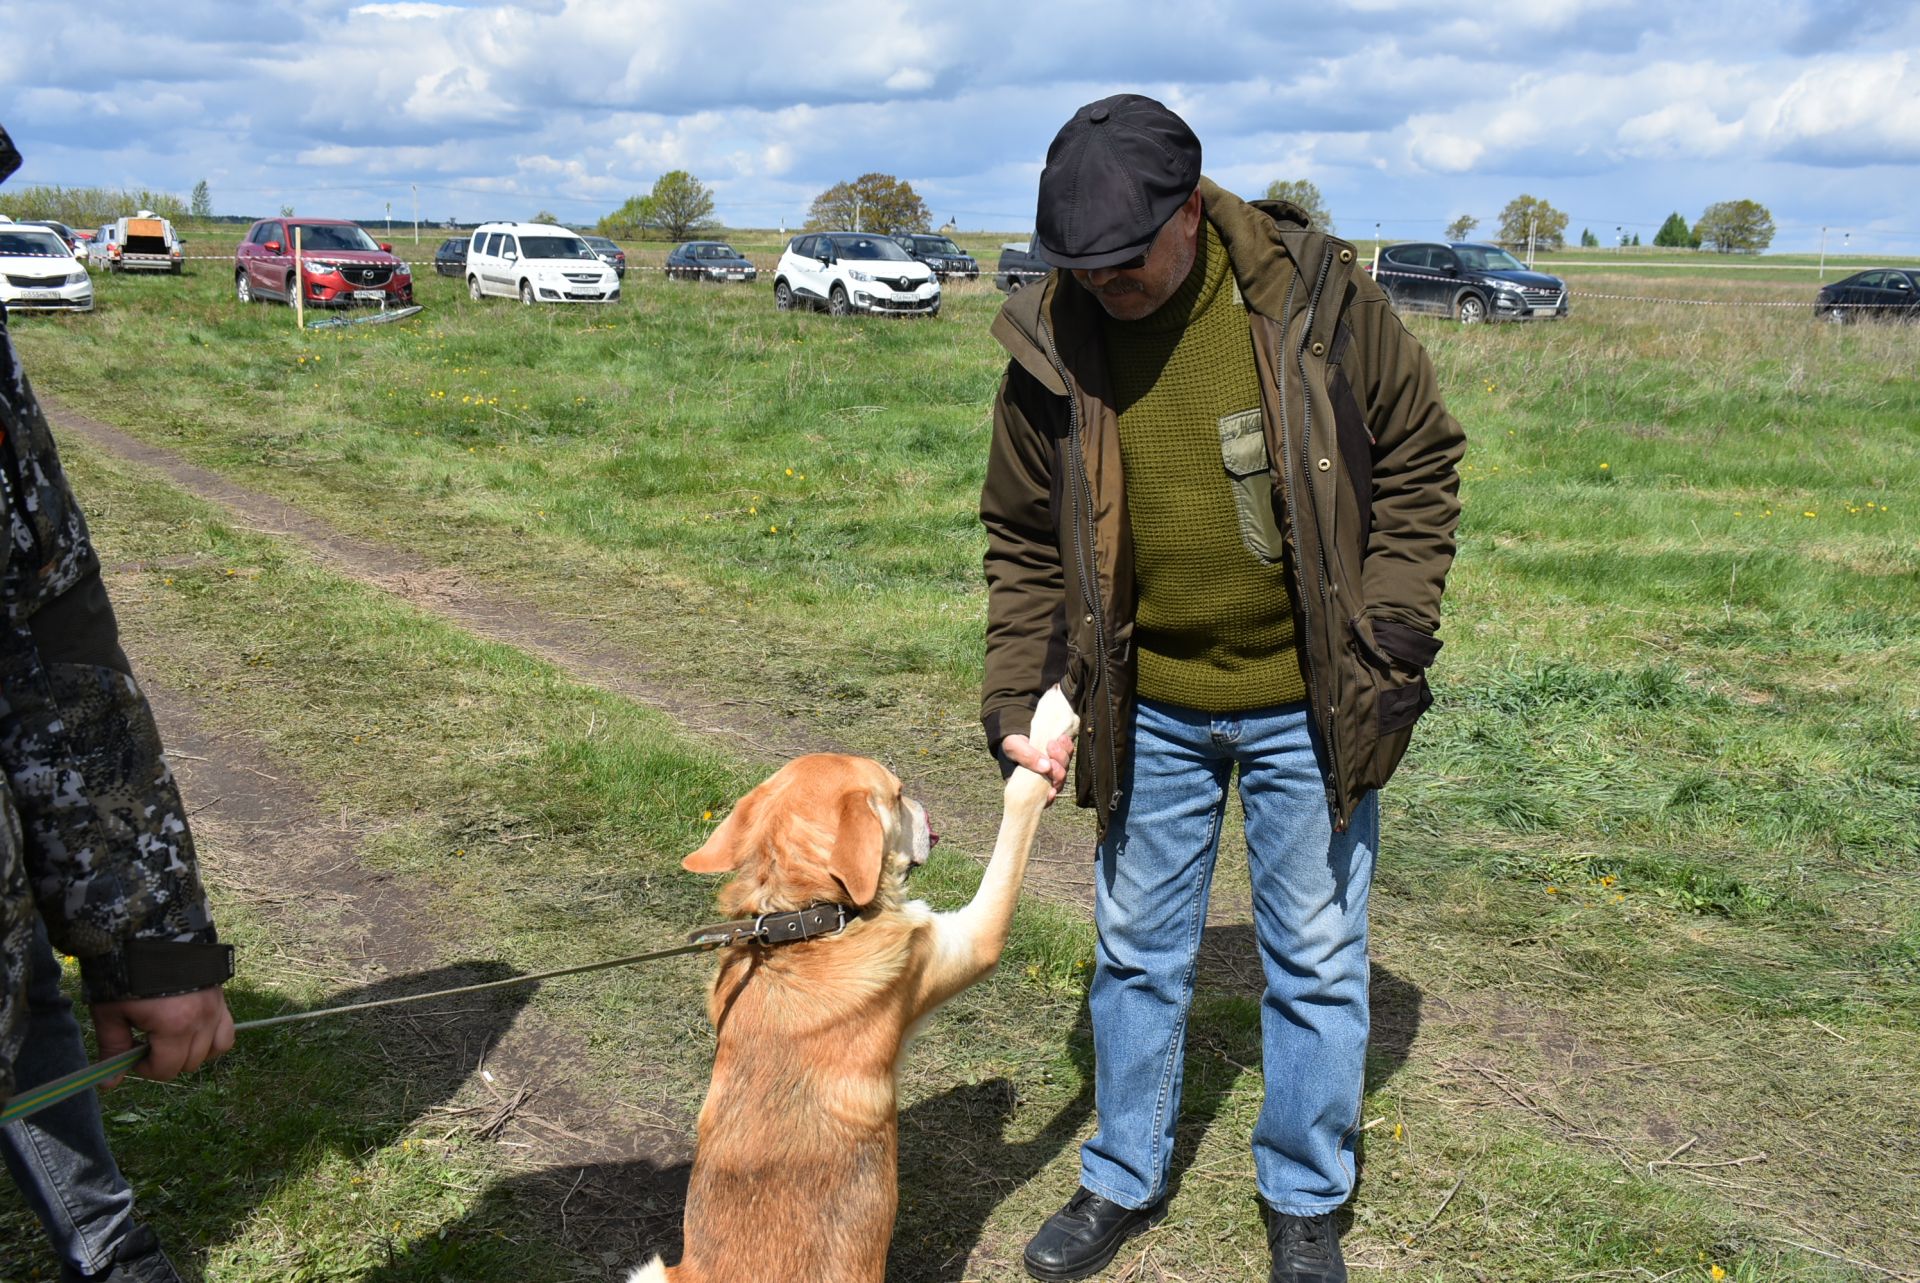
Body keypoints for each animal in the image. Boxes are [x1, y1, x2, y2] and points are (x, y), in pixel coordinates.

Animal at [629, 691, 1082, 1283]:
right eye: (899, 793)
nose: (927, 815)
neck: (805, 925)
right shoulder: (971, 941)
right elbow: (1018, 808)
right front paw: (1051, 721)